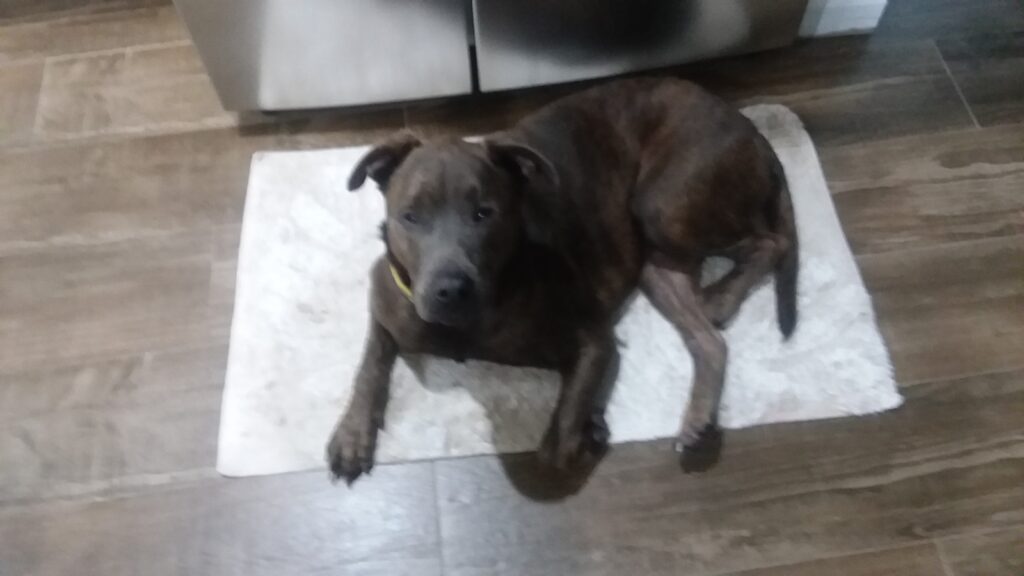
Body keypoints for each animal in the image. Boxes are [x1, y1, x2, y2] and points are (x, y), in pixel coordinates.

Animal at [327, 75, 798, 479]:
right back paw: (699, 416)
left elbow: (557, 445)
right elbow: (370, 361)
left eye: (484, 213)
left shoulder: (593, 339)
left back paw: (723, 295)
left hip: (663, 204)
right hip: (656, 263)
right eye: (410, 216)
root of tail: (748, 124)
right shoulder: (386, 297)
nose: (451, 290)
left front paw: (585, 430)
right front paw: (352, 433)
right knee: (710, 341)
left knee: (771, 242)